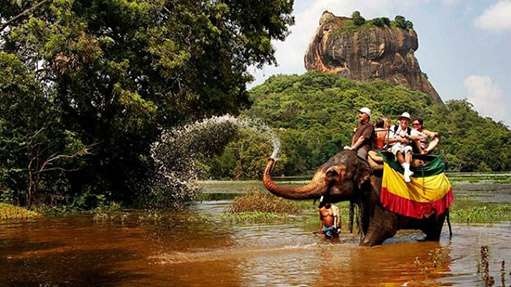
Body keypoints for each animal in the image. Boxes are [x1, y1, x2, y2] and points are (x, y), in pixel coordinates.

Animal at [262, 151, 450, 248]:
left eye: (331, 174)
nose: (272, 158)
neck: (363, 161)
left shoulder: (379, 196)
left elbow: (384, 229)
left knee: (434, 232)